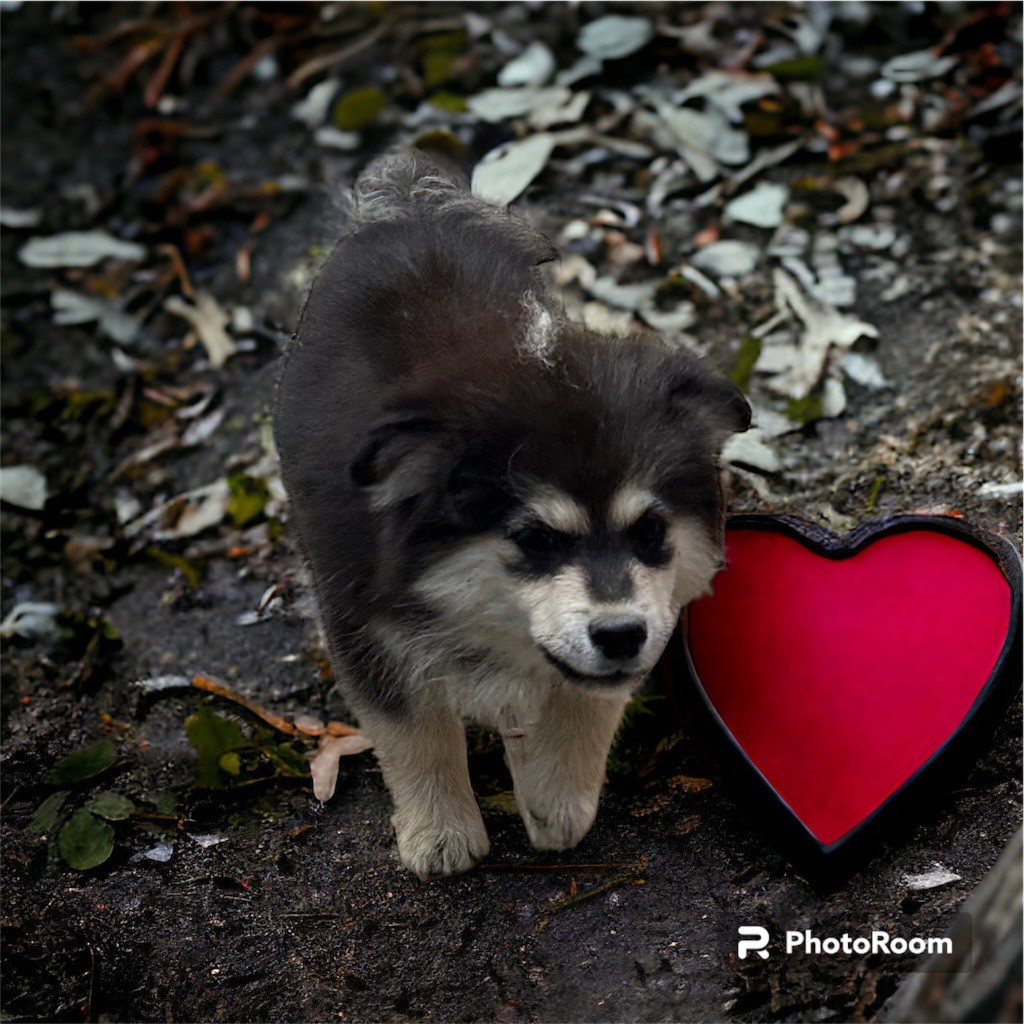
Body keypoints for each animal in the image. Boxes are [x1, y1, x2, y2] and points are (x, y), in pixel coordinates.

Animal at [276, 151, 749, 880]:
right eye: (535, 538)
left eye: (650, 531)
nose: (621, 635)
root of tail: (404, 200)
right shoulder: (364, 628)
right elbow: (415, 736)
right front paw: (441, 834)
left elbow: (582, 706)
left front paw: (556, 803)